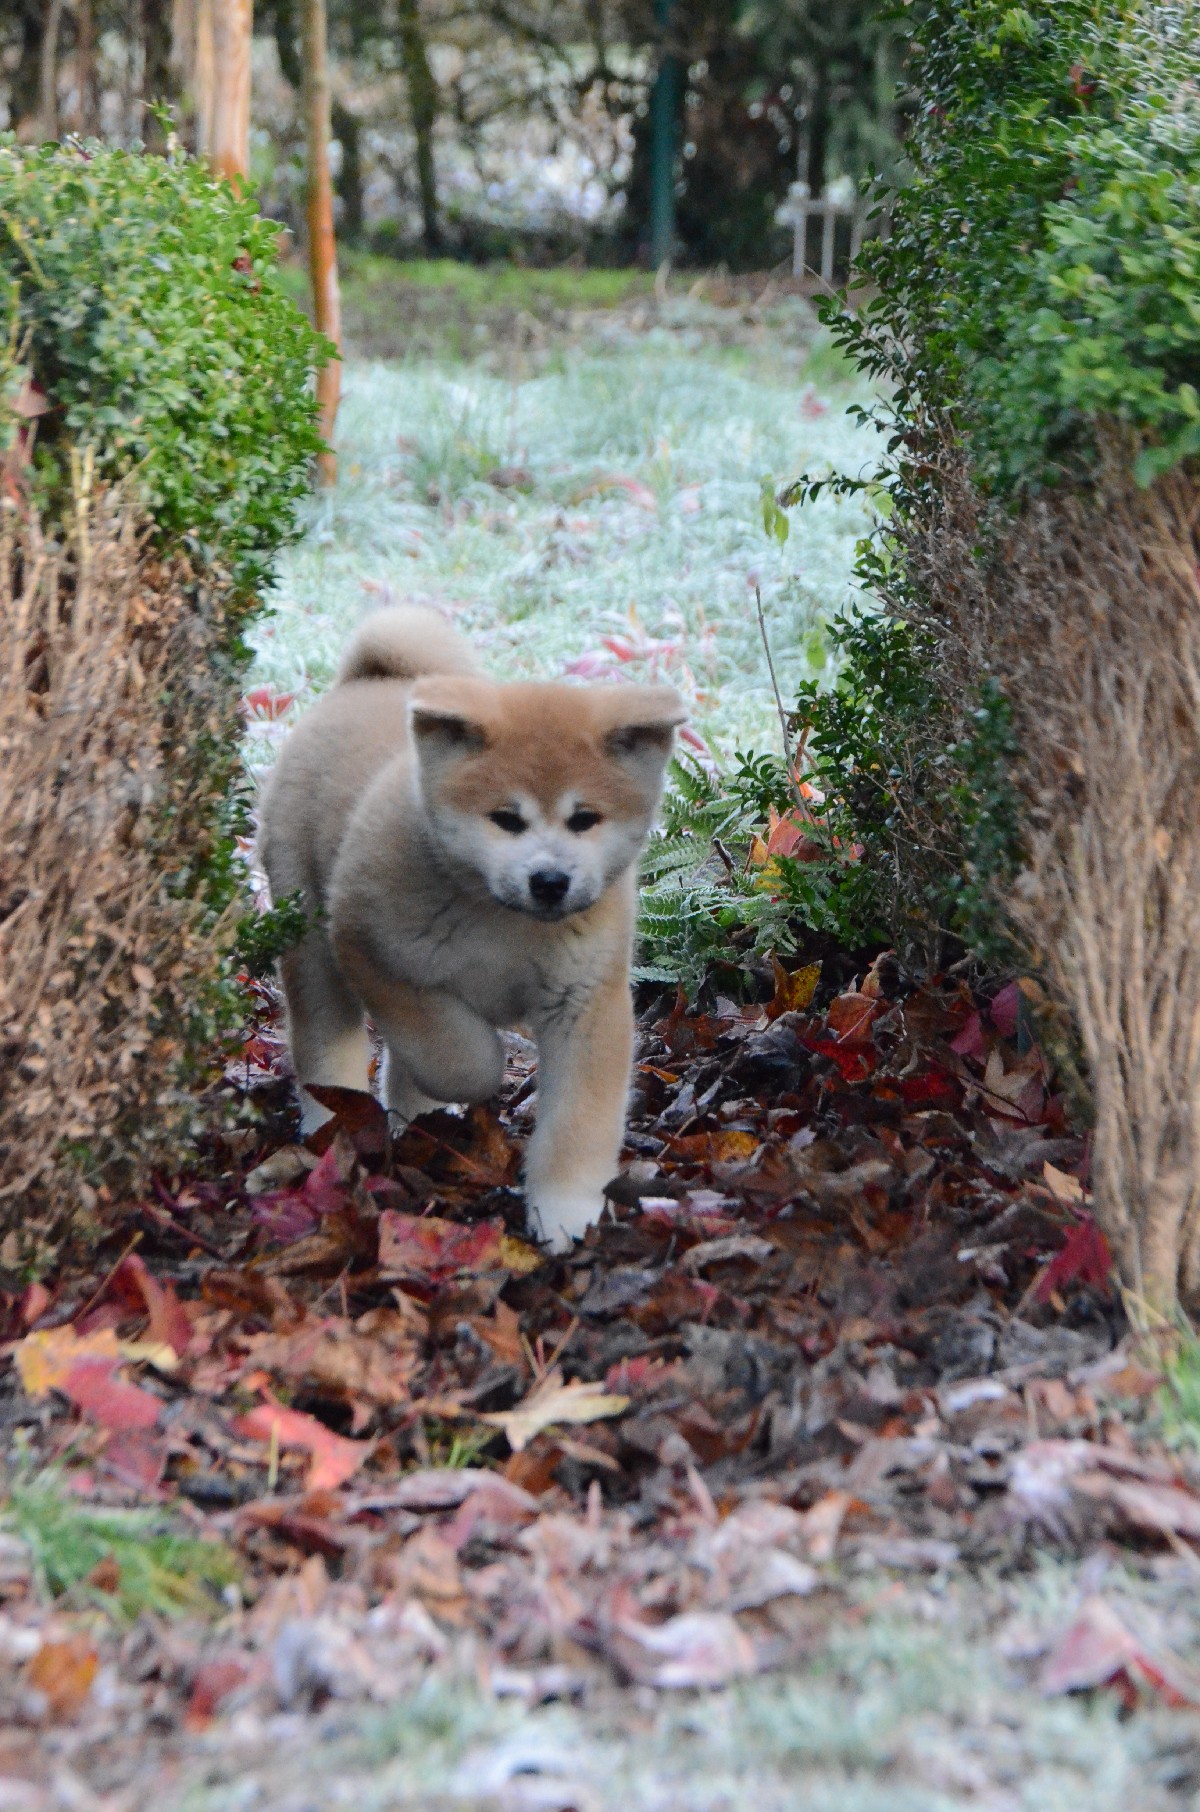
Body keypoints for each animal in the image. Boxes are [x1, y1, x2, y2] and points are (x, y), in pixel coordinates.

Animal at [257, 604, 684, 1251]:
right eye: (506, 819)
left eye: (584, 819)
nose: (550, 880)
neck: (501, 921)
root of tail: (365, 682)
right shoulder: (368, 946)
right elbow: (459, 1054)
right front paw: (485, 1070)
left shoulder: (586, 1003)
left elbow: (578, 1125)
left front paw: (567, 1215)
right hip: (309, 935)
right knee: (326, 1045)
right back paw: (331, 1124)